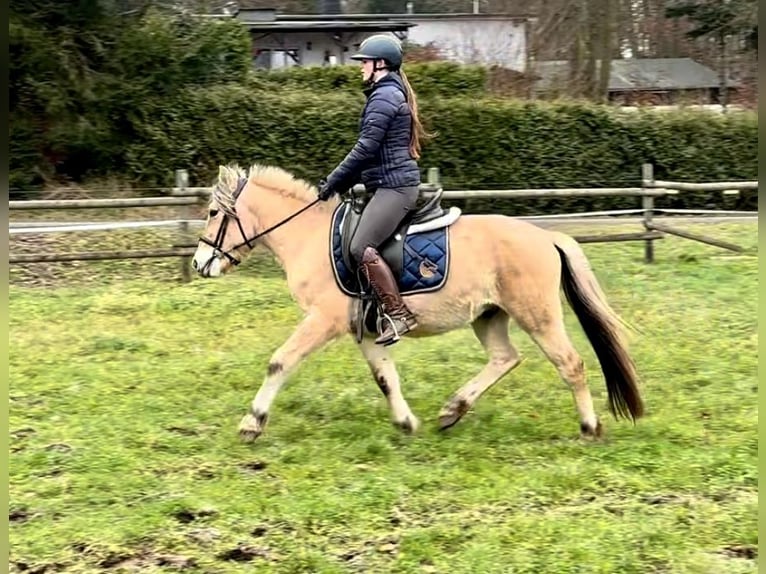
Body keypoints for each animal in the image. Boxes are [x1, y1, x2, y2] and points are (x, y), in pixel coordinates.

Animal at [192, 164, 648, 444]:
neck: (309, 236)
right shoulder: (366, 331)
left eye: (214, 212)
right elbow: (385, 378)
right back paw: (453, 409)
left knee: (570, 364)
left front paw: (252, 423)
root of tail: (546, 236)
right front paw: (406, 422)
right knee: (505, 358)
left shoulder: (323, 321)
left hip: (537, 316)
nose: (199, 264)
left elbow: (280, 362)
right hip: (488, 316)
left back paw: (588, 427)